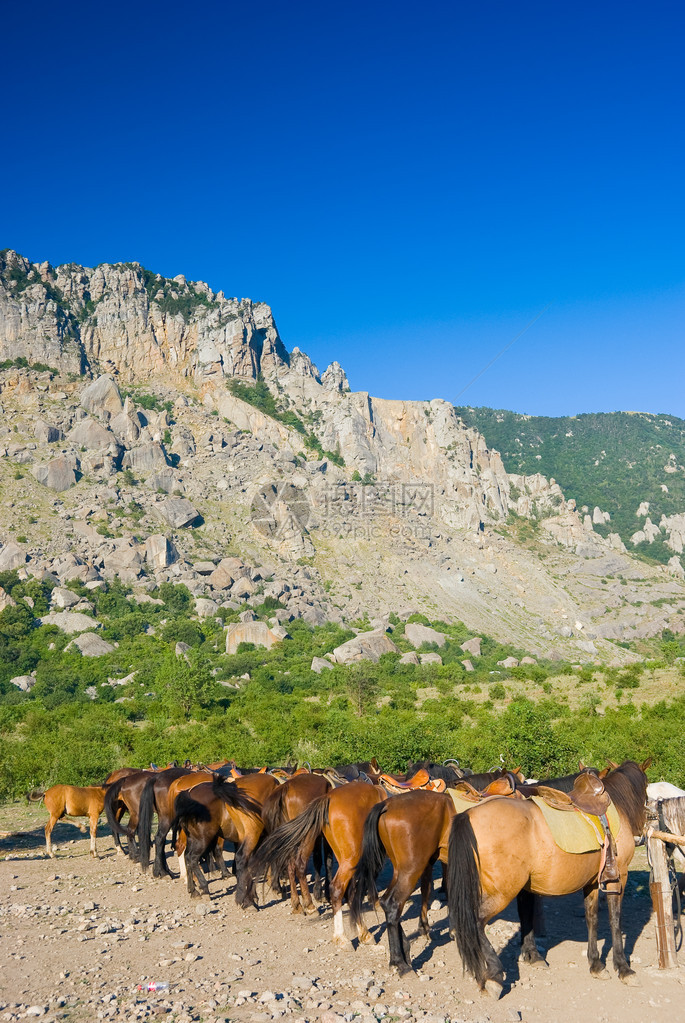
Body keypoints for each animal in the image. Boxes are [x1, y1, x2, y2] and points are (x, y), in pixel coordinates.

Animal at [447, 757, 650, 994]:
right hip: (501, 892)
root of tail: (468, 815)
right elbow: (615, 920)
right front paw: (624, 968)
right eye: (647, 786)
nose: (642, 831)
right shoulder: (619, 877)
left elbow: (592, 918)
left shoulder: (591, 882)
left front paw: (596, 964)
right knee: (476, 922)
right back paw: (494, 975)